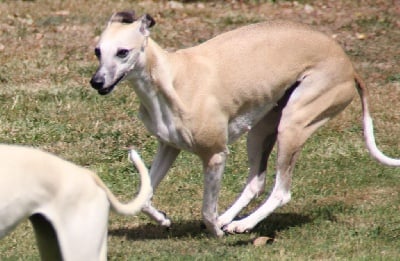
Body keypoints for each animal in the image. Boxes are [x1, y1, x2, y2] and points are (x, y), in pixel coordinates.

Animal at [90, 11, 400, 236]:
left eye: (122, 52)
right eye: (97, 51)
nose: (96, 82)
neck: (169, 78)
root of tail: (348, 63)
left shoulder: (215, 155)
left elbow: (206, 209)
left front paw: (215, 233)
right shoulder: (168, 146)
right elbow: (143, 198)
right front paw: (164, 219)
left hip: (293, 124)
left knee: (281, 192)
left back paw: (242, 224)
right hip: (262, 129)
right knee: (256, 182)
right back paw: (229, 219)